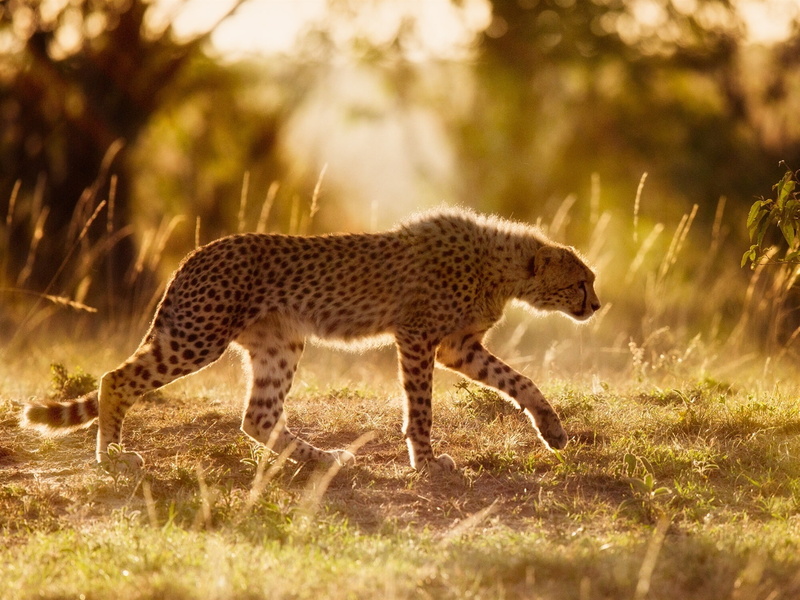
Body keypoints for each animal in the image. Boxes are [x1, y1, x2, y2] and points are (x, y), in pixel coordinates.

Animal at [21, 207, 600, 472]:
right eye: (581, 281)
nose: (596, 305)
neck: (503, 267)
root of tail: (197, 252)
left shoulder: (458, 347)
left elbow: (519, 381)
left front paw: (552, 430)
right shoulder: (417, 337)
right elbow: (421, 408)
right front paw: (426, 460)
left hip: (279, 344)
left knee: (257, 418)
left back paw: (322, 459)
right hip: (198, 337)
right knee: (114, 378)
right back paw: (113, 456)